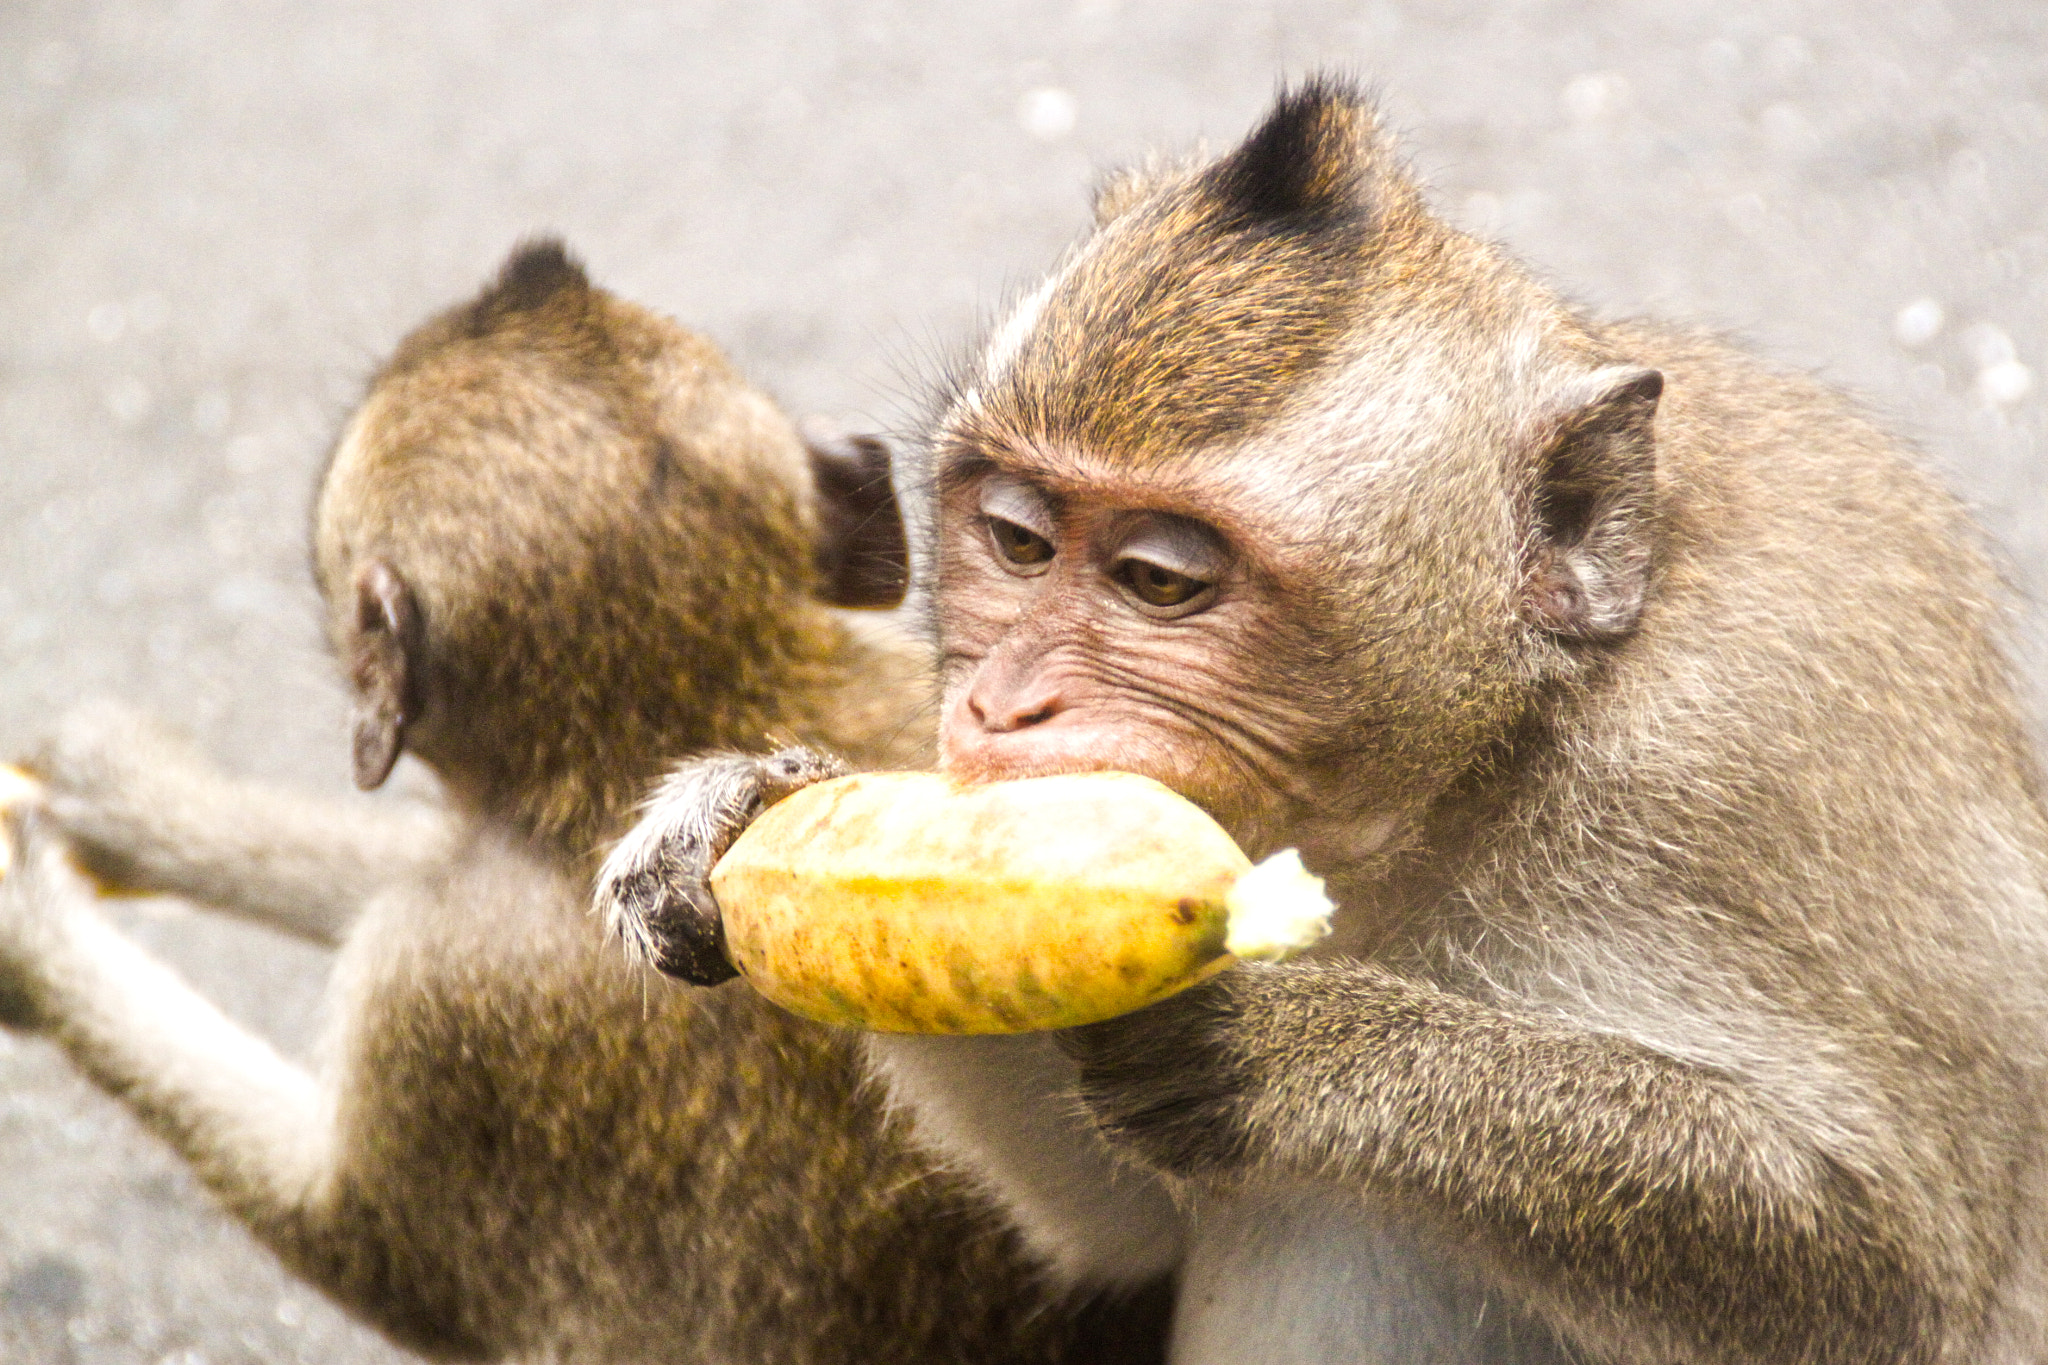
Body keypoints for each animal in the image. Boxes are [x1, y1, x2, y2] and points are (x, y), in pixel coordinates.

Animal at [594, 78, 2048, 1365]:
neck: (1476, 766)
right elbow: (1126, 1225)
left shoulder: (1750, 757)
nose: (1002, 702)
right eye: (1016, 540)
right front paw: (731, 805)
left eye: (1158, 582)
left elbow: (1888, 1275)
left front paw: (1276, 1046)